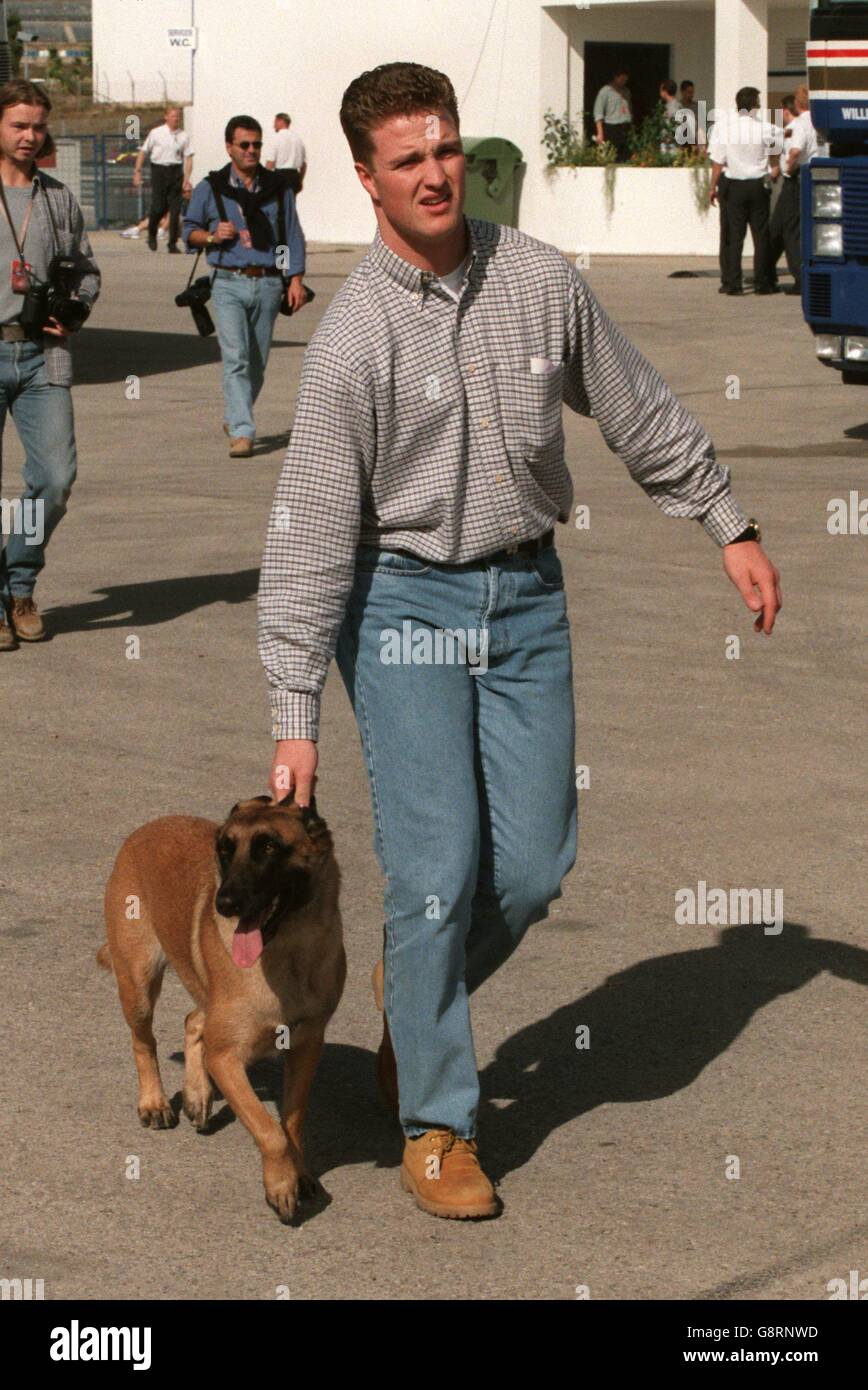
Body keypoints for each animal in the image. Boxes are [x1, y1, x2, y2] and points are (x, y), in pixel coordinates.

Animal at [98, 800, 346, 1223]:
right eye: (225, 851)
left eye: (268, 847)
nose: (224, 904)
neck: (290, 953)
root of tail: (147, 829)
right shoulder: (227, 1057)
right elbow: (271, 1132)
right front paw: (281, 1184)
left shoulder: (305, 1047)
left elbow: (291, 1124)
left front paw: (298, 1172)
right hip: (139, 983)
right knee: (143, 1042)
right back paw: (155, 1102)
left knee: (193, 1020)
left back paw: (197, 1094)